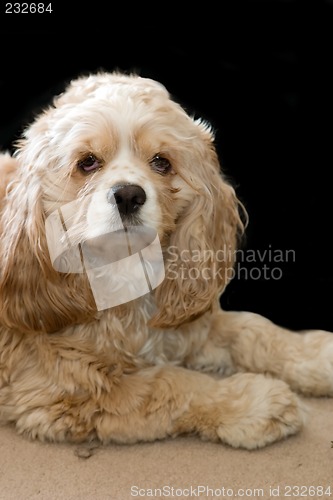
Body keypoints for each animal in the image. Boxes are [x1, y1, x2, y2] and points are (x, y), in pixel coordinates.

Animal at [0, 71, 330, 450]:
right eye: (87, 162)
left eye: (162, 162)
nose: (128, 195)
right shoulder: (68, 390)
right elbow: (172, 383)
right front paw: (256, 403)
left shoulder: (185, 322)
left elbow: (251, 328)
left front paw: (317, 356)